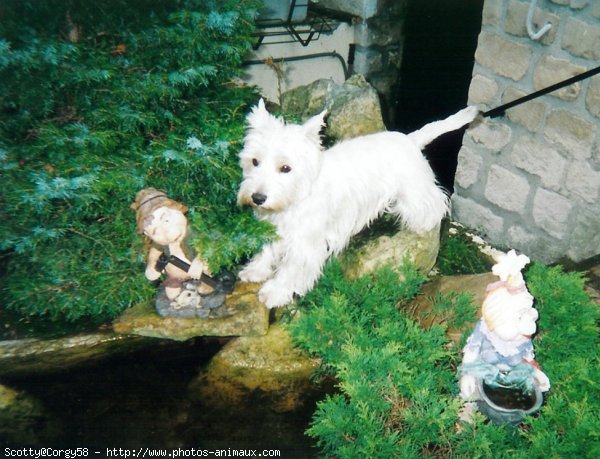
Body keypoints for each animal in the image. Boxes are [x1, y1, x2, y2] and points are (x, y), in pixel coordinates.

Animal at [237, 100, 476, 310]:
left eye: (285, 168)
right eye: (254, 161)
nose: (257, 198)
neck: (297, 196)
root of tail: (409, 139)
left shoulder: (306, 243)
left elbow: (291, 269)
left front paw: (275, 292)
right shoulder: (274, 228)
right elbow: (266, 250)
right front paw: (255, 271)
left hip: (414, 189)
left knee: (436, 202)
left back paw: (423, 223)